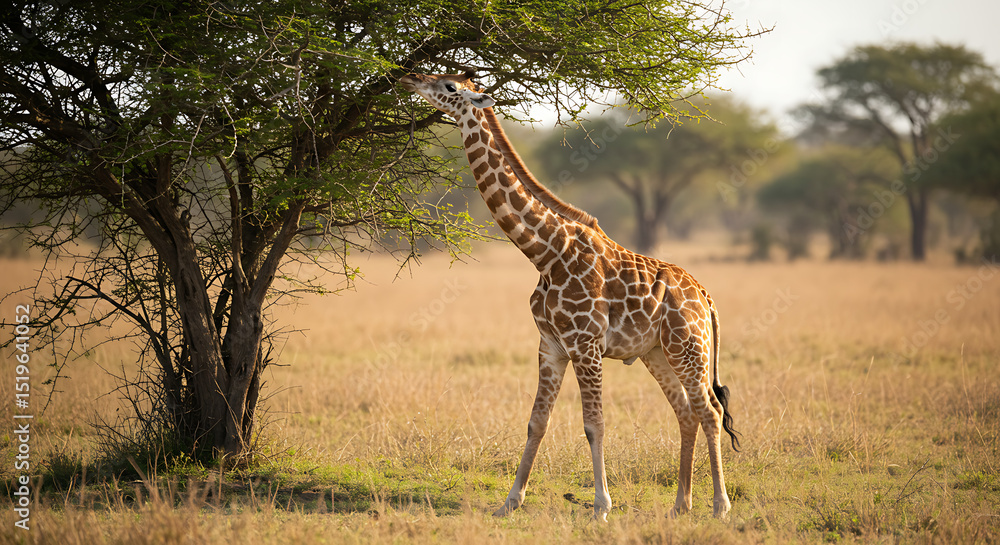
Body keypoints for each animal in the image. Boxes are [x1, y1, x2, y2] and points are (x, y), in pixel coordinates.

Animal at [399, 70, 741, 520]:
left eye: (451, 87)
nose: (410, 78)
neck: (546, 252)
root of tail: (705, 296)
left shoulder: (586, 344)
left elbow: (594, 424)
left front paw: (601, 506)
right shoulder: (551, 345)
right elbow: (536, 421)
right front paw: (510, 502)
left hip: (689, 348)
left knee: (710, 410)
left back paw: (719, 506)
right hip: (656, 352)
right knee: (686, 411)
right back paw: (680, 505)